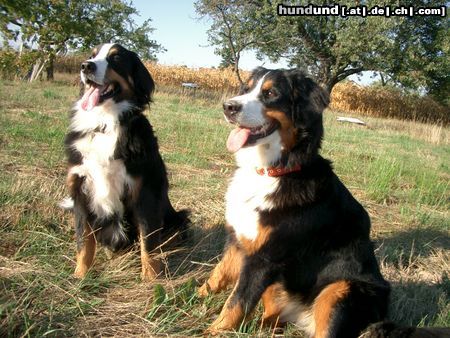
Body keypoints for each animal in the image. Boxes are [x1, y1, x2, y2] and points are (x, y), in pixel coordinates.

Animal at [64, 43, 187, 282]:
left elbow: (148, 240)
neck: (105, 124)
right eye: (92, 54)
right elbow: (84, 241)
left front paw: (150, 279)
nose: (86, 66)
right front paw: (80, 276)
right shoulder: (80, 189)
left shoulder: (144, 192)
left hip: (179, 218)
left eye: (116, 59)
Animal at [199, 67, 448, 336]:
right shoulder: (239, 239)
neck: (275, 171)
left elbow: (237, 302)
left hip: (338, 289)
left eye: (271, 93)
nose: (228, 106)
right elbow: (218, 275)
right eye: (246, 89)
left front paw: (211, 331)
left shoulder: (265, 257)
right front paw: (191, 295)